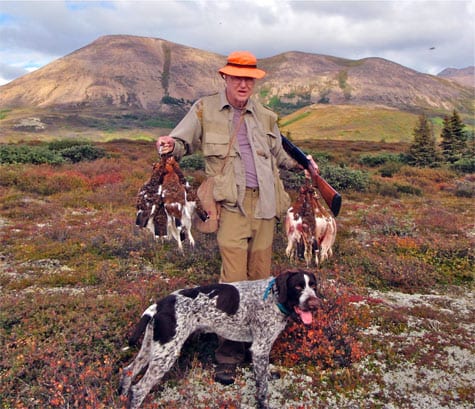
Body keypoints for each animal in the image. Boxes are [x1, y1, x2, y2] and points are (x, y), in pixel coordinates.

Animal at [118, 270, 324, 406]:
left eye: (313, 286)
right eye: (297, 286)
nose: (315, 304)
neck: (273, 298)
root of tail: (160, 304)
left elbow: (263, 375)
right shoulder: (260, 348)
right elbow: (263, 389)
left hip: (152, 347)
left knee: (128, 371)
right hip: (166, 354)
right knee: (139, 389)